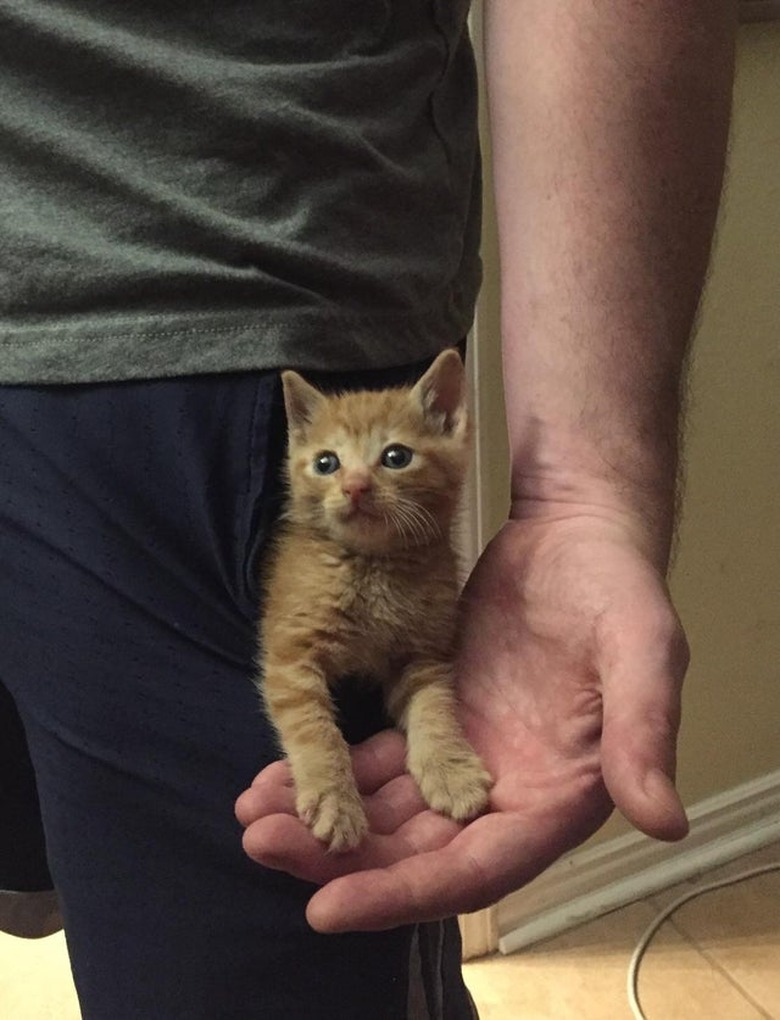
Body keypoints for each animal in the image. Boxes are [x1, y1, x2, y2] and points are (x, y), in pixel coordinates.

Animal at [258, 350, 489, 852]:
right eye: (327, 462)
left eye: (396, 457)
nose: (355, 486)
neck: (372, 566)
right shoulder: (291, 657)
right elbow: (315, 729)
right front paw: (336, 800)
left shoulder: (422, 655)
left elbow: (435, 711)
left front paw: (451, 771)